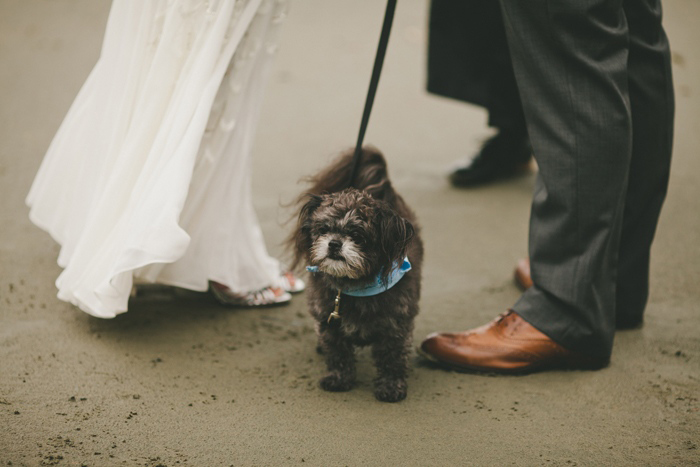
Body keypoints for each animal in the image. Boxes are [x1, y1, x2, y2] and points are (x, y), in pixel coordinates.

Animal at [288, 149, 424, 402]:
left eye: (358, 236)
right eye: (323, 229)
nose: (333, 243)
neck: (354, 286)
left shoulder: (395, 325)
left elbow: (392, 357)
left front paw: (391, 386)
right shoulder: (329, 322)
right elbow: (338, 353)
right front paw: (339, 379)